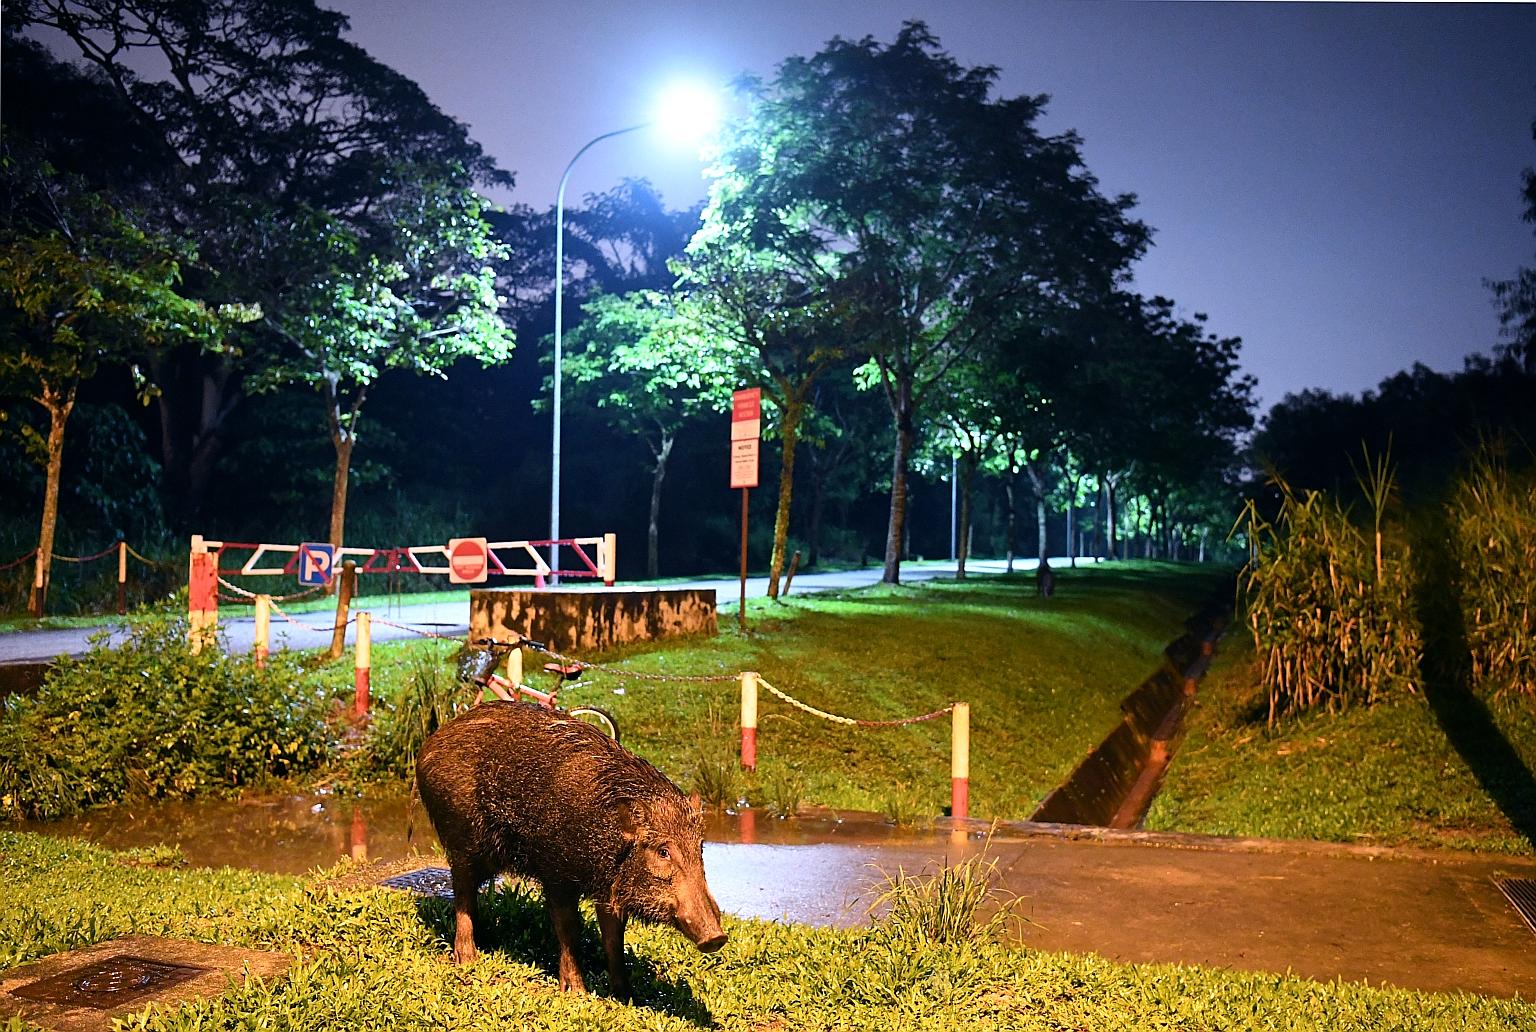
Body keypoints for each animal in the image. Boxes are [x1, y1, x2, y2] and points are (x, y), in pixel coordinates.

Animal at [415, 700, 727, 1001]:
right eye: (663, 851)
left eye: (700, 847)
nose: (717, 937)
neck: (609, 839)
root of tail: (430, 742)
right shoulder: (556, 873)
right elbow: (569, 929)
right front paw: (577, 992)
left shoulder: (608, 888)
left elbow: (614, 937)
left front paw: (627, 995)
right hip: (461, 837)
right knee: (463, 893)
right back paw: (468, 959)